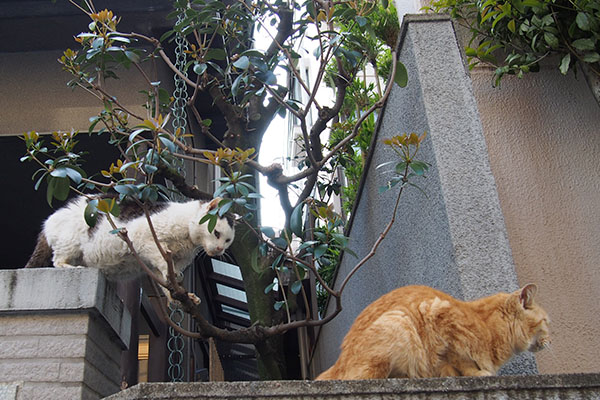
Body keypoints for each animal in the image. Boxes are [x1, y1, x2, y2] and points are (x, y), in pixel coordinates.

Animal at [316, 282, 552, 380]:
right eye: (546, 322)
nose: (550, 340)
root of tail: (338, 363)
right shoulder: (436, 312)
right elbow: (460, 360)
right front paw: (477, 372)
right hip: (399, 323)